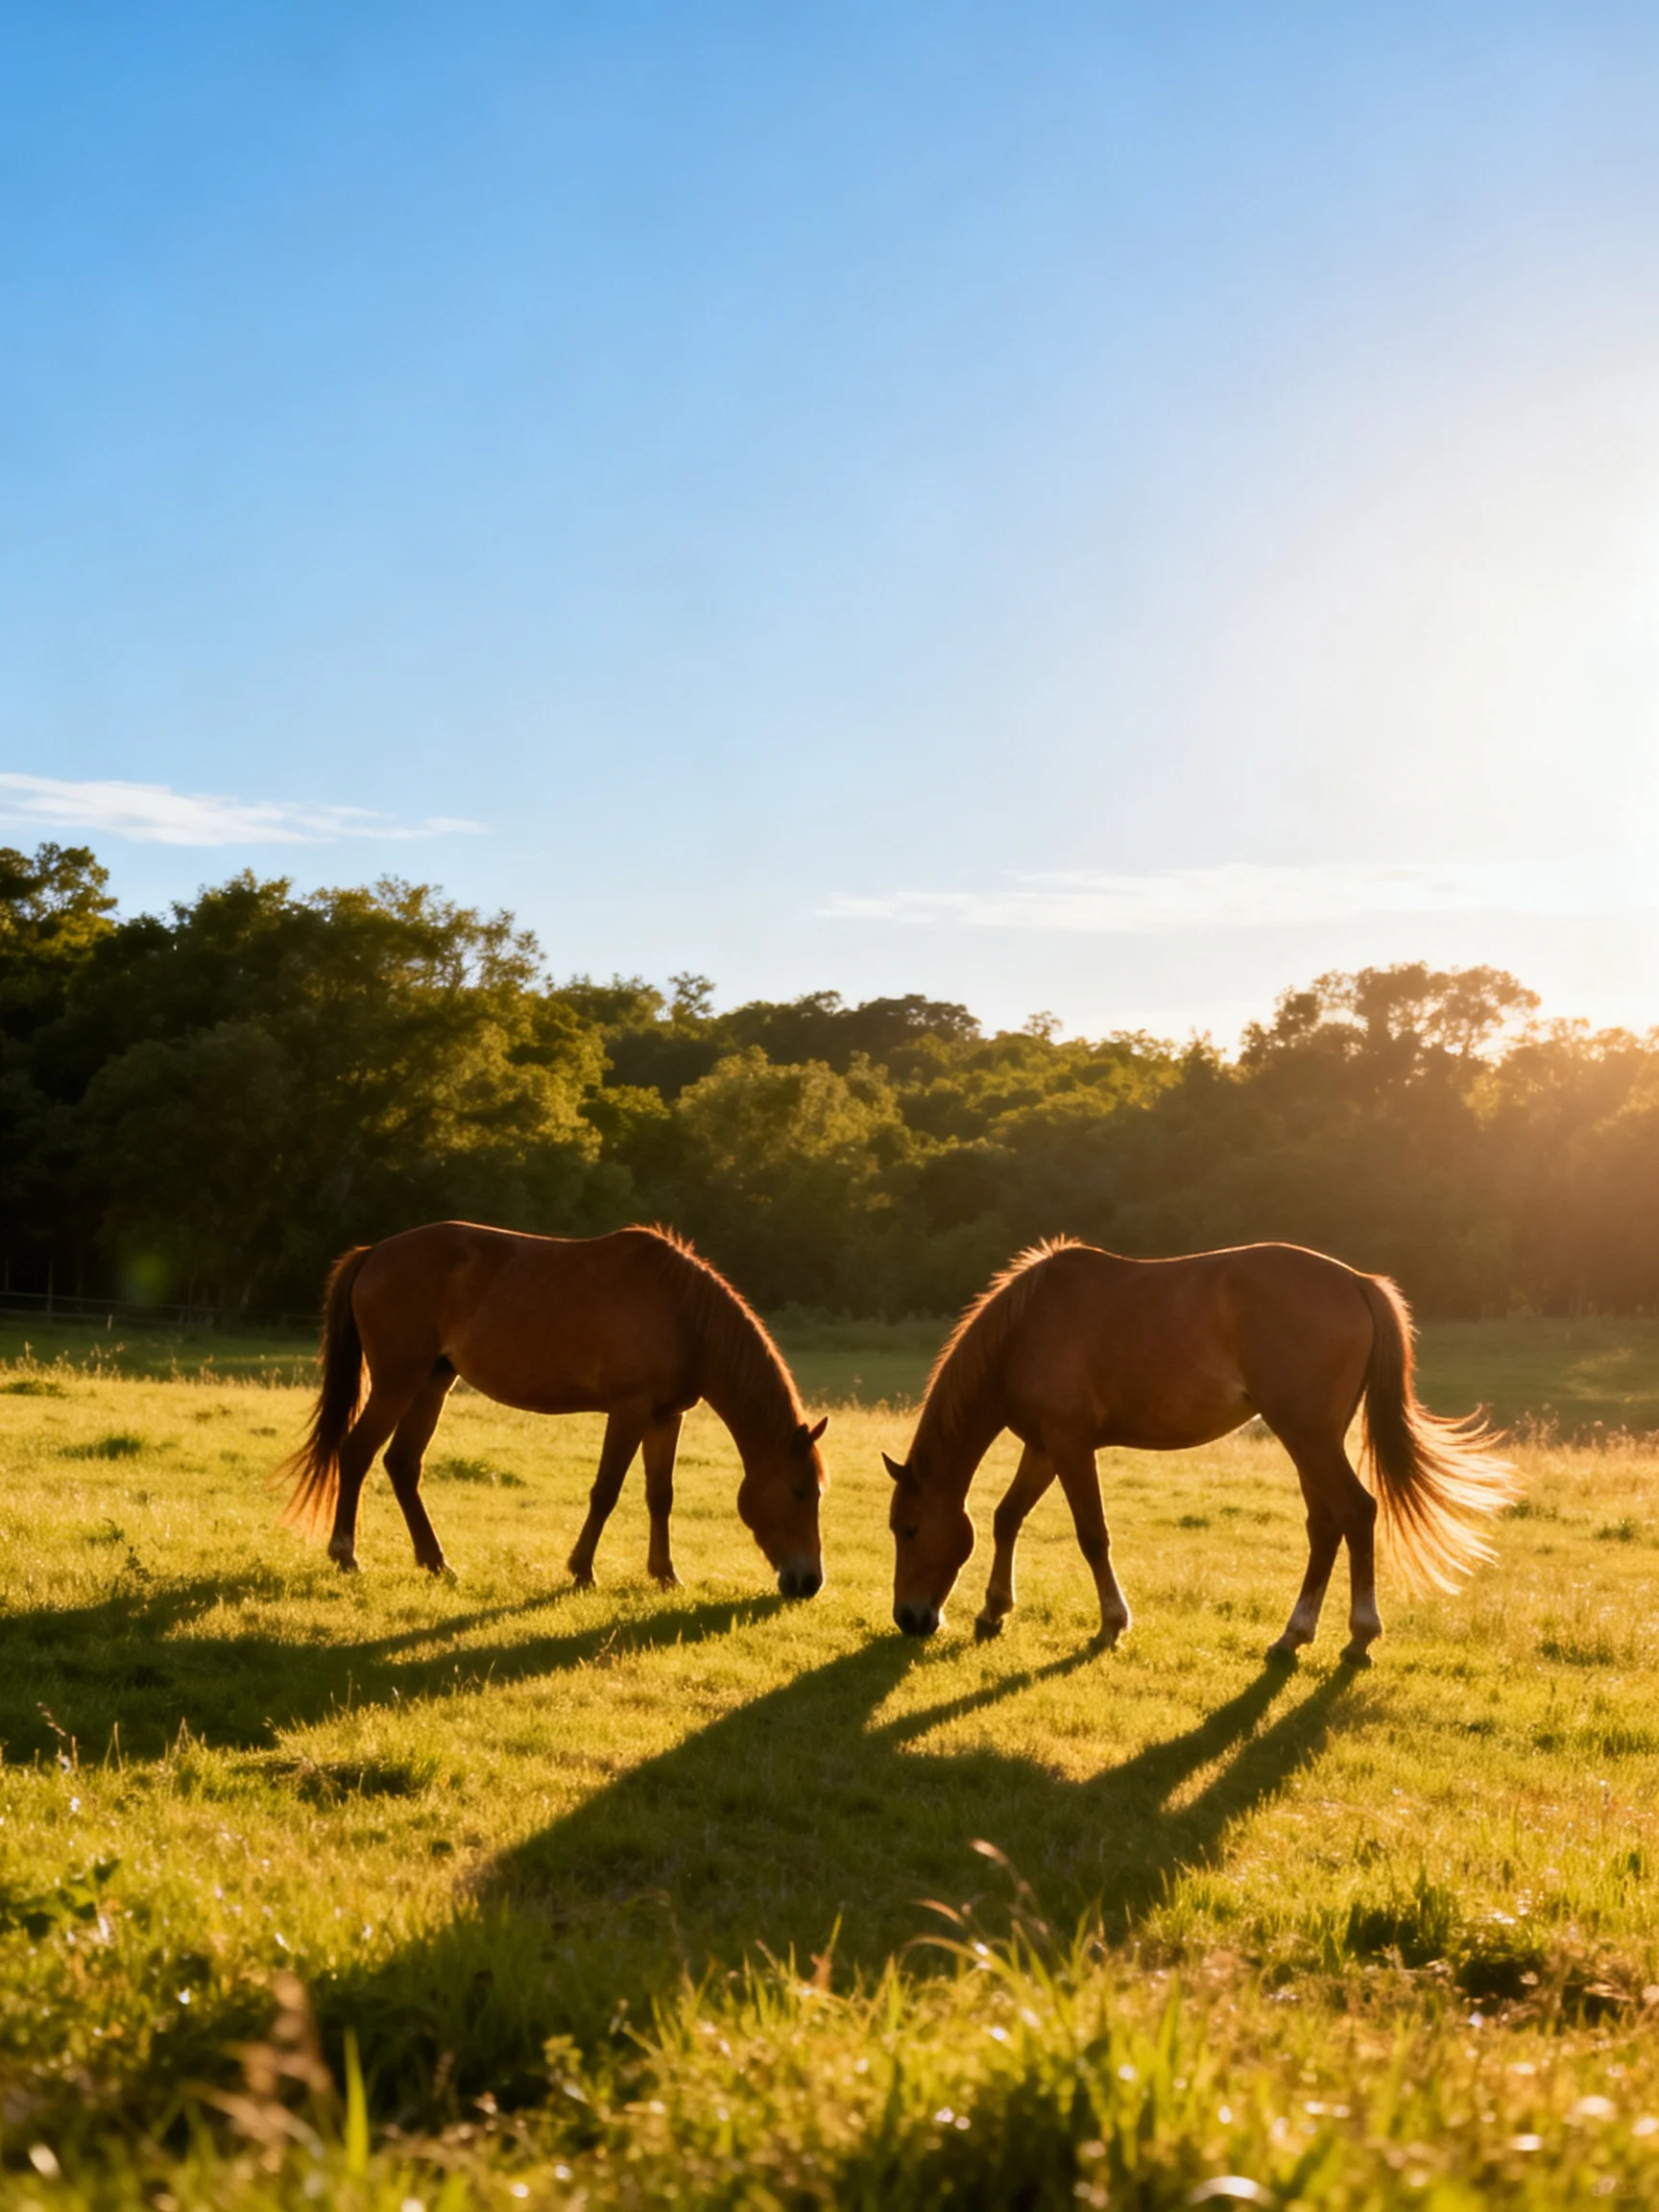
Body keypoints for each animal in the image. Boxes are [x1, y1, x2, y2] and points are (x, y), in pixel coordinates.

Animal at [279, 1222, 828, 1595]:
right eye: (799, 1491)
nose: (808, 1582)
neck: (684, 1315)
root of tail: (374, 1252)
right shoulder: (628, 1411)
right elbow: (606, 1492)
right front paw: (582, 1570)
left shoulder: (667, 1417)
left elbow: (660, 1496)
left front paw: (665, 1573)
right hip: (398, 1382)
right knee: (356, 1454)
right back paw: (346, 1554)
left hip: (433, 1383)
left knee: (402, 1464)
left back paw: (436, 1561)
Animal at [883, 1238, 1512, 1663]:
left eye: (908, 1530)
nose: (910, 1619)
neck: (1027, 1329)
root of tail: (1358, 1281)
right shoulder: (1044, 1446)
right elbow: (1006, 1518)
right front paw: (993, 1609)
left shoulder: (1069, 1445)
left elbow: (1092, 1536)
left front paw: (1112, 1623)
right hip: (1314, 1439)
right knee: (1326, 1524)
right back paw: (1294, 1635)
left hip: (1306, 1434)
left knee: (1356, 1513)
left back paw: (1359, 1635)